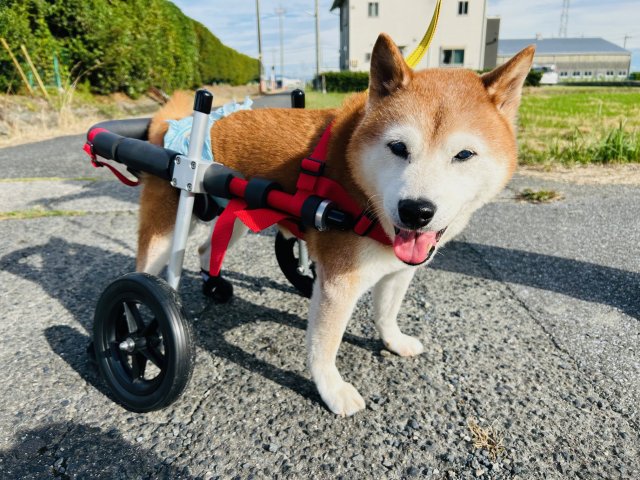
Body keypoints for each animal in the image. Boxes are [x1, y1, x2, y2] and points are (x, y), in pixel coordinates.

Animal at [136, 34, 536, 416]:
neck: (360, 189)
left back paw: (214, 283)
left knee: (207, 247)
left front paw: (393, 341)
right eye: (398, 148)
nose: (415, 211)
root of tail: (176, 123)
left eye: (464, 155)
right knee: (144, 273)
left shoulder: (397, 270)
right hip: (168, 226)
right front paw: (332, 390)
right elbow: (324, 347)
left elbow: (386, 313)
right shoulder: (339, 284)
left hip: (236, 215)